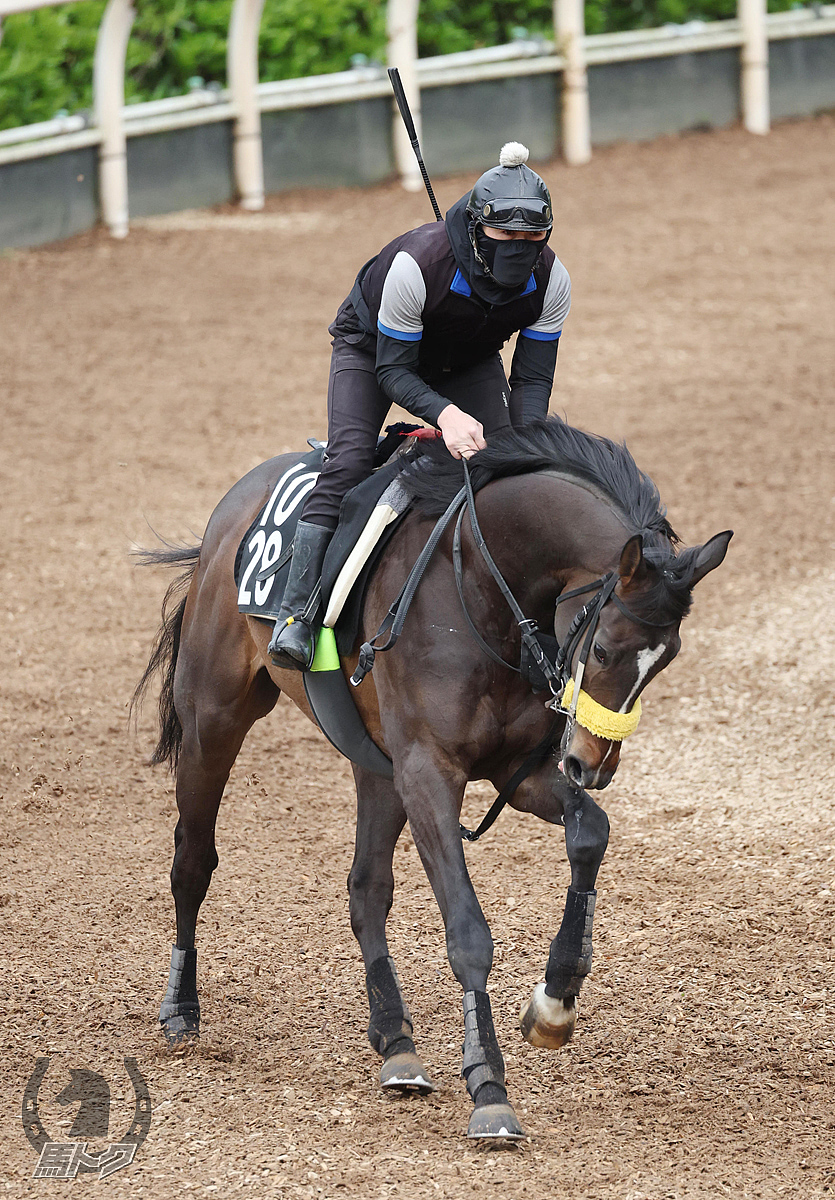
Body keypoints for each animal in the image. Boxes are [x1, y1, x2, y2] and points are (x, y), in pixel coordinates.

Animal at [135, 417, 729, 1137]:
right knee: (192, 860)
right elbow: (468, 931)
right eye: (609, 648)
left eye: (666, 658)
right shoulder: (428, 772)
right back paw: (180, 1012)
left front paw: (554, 1003)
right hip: (214, 719)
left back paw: (396, 1043)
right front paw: (489, 1087)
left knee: (365, 890)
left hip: (375, 766)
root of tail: (237, 503)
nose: (592, 762)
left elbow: (591, 832)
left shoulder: (513, 772)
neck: (484, 589)